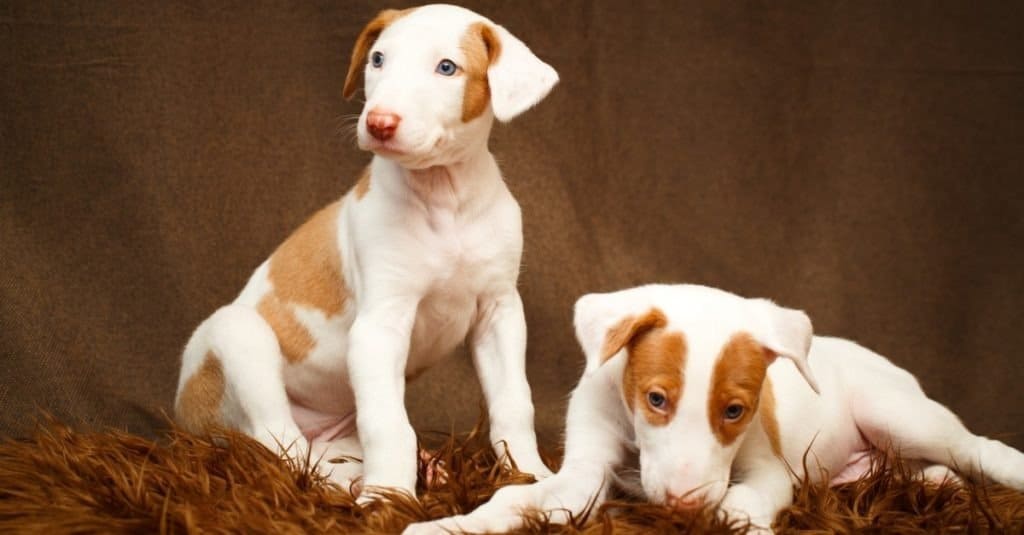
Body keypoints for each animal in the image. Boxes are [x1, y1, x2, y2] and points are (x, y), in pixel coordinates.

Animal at [176, 4, 561, 498]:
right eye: (378, 59)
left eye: (447, 68)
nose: (379, 122)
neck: (444, 197)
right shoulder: (381, 324)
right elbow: (389, 425)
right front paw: (388, 498)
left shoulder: (499, 313)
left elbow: (514, 403)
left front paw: (534, 477)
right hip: (238, 336)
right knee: (278, 446)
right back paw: (351, 484)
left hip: (336, 430)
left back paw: (411, 469)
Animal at [405, 282, 1024, 528]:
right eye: (655, 399)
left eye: (734, 412)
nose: (681, 503)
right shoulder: (584, 471)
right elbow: (523, 499)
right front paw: (451, 525)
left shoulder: (771, 469)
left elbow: (746, 497)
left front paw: (737, 520)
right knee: (925, 471)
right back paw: (936, 485)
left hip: (897, 414)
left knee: (974, 446)